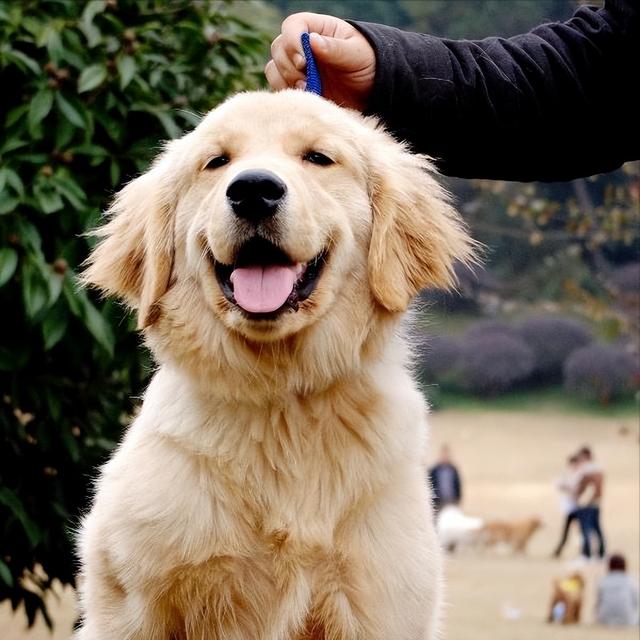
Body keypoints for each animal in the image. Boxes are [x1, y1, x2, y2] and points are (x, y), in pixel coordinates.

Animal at [75, 90, 476, 640]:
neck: (282, 400)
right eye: (216, 162)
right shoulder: (133, 607)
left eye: (318, 158)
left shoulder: (380, 605)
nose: (253, 191)